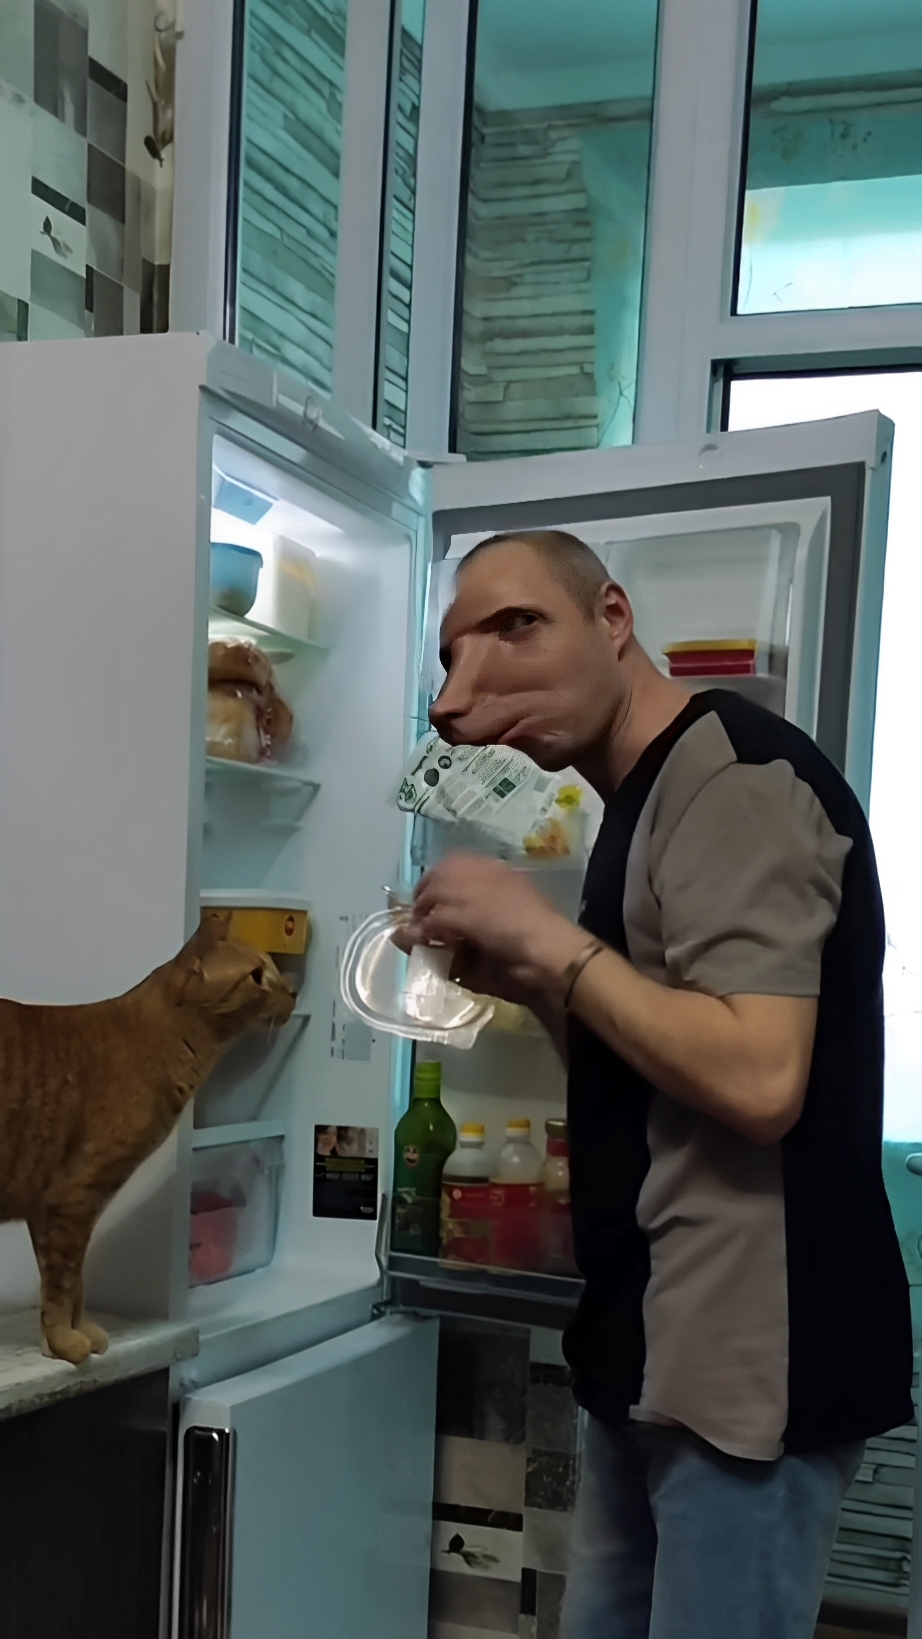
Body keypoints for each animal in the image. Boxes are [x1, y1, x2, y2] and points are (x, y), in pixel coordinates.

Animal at [0, 910, 295, 1365]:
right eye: (257, 976)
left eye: (274, 971)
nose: (294, 990)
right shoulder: (75, 1198)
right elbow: (63, 1282)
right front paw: (66, 1342)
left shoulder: (54, 1207)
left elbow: (71, 1281)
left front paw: (65, 1338)